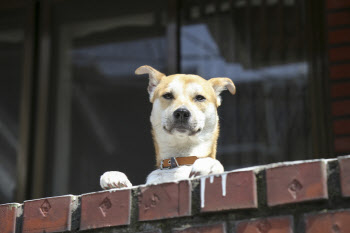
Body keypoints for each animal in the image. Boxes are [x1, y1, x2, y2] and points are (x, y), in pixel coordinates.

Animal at [100, 65, 235, 189]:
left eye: (200, 98)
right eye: (168, 95)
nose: (182, 112)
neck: (180, 160)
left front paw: (209, 164)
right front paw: (115, 177)